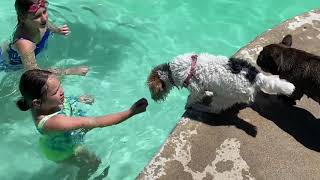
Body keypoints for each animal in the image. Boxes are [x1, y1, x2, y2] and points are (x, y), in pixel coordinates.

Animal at [147, 52, 296, 113]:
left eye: (151, 89)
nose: (152, 99)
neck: (171, 71)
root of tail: (255, 76)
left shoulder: (195, 89)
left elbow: (191, 98)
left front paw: (188, 104)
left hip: (224, 97)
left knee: (214, 110)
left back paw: (200, 107)